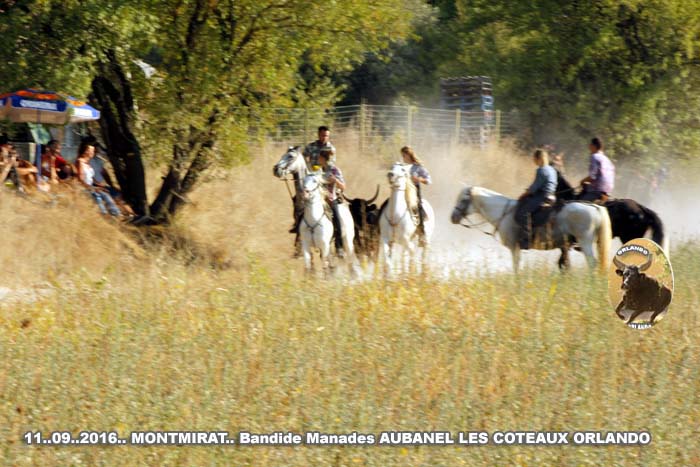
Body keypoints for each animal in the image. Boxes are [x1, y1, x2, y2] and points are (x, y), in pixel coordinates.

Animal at [452, 186, 608, 274]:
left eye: (463, 200)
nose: (453, 217)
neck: (503, 212)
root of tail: (595, 207)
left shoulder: (514, 248)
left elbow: (516, 267)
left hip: (585, 242)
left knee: (592, 264)